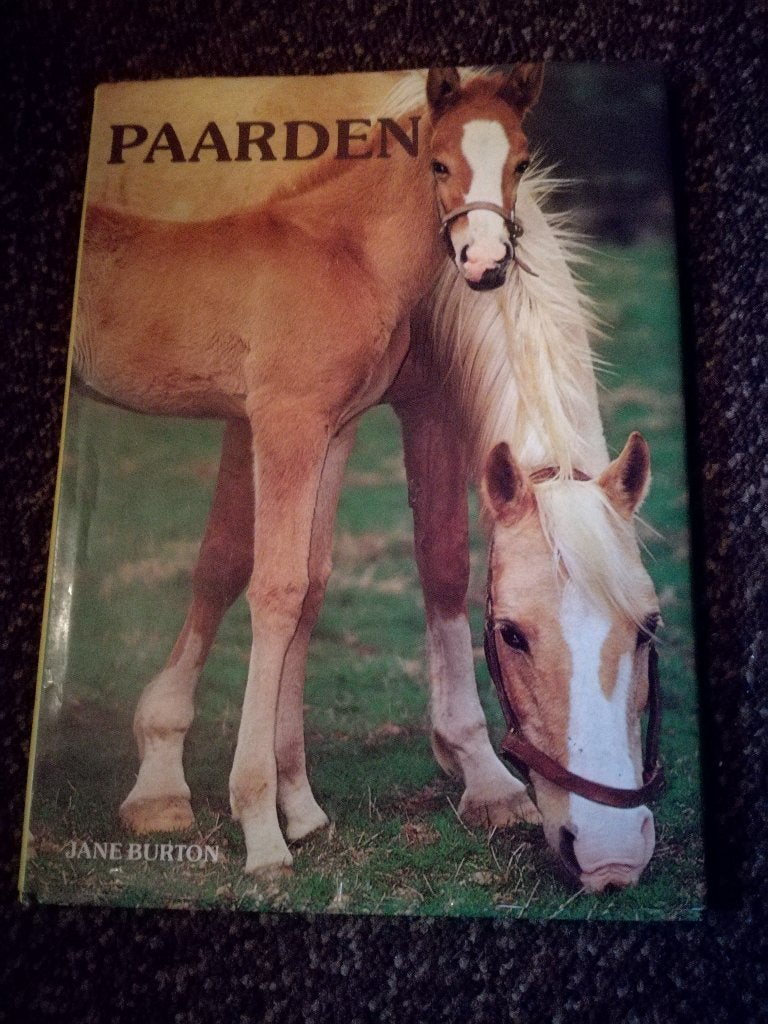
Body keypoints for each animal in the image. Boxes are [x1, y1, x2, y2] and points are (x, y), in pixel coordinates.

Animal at [73, 65, 547, 874]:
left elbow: (313, 585)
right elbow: (276, 588)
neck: (343, 253)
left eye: (518, 164)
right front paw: (261, 830)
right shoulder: (284, 421)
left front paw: (299, 807)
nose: (485, 267)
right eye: (439, 164)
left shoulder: (336, 425)